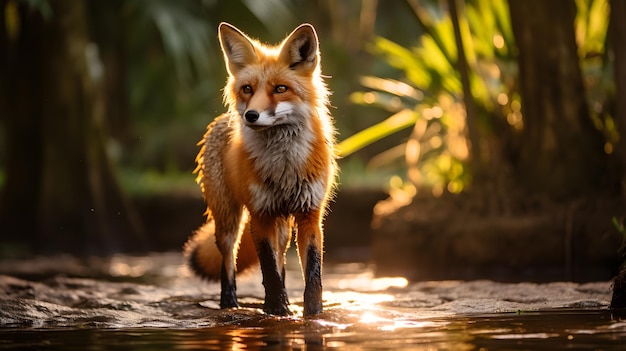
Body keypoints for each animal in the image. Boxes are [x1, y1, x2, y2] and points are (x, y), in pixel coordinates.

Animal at [183, 23, 334, 318]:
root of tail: (222, 120)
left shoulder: (310, 214)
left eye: (280, 88)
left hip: (283, 226)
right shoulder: (260, 213)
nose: (250, 115)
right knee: (228, 260)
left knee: (281, 258)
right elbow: (269, 270)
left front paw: (313, 314)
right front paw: (277, 310)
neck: (285, 167)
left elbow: (312, 275)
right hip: (229, 219)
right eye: (247, 89)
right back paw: (229, 303)